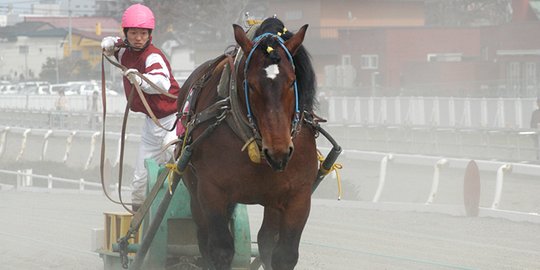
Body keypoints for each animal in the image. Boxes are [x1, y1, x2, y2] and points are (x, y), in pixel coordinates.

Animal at [177, 17, 320, 270]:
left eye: (291, 82)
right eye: (251, 84)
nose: (279, 151)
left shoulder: (298, 196)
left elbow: (284, 254)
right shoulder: (212, 191)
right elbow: (220, 250)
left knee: (266, 239)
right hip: (194, 187)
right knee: (204, 236)